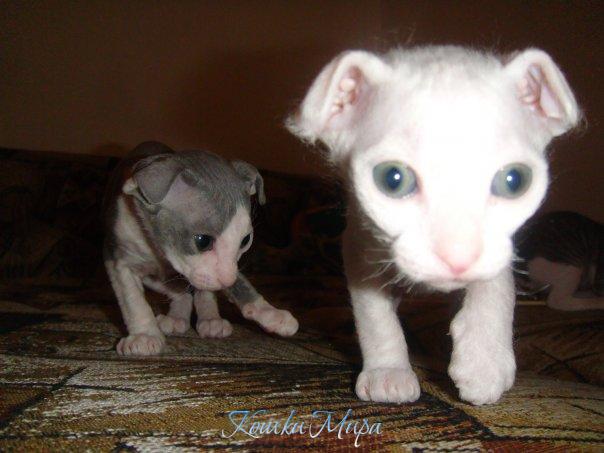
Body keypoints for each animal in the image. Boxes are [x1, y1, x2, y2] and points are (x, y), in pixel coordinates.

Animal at [103, 141, 298, 356]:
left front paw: (269, 313)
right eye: (203, 241)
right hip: (155, 277)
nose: (227, 281)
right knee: (179, 291)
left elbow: (239, 284)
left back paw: (209, 320)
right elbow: (132, 299)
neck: (161, 250)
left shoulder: (223, 268)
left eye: (246, 240)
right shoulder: (118, 259)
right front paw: (144, 335)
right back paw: (176, 318)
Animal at [287, 46, 580, 404]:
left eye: (514, 180)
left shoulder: (499, 249)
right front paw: (388, 372)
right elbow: (373, 313)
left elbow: (497, 284)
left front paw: (484, 361)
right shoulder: (358, 242)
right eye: (393, 179)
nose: (458, 257)